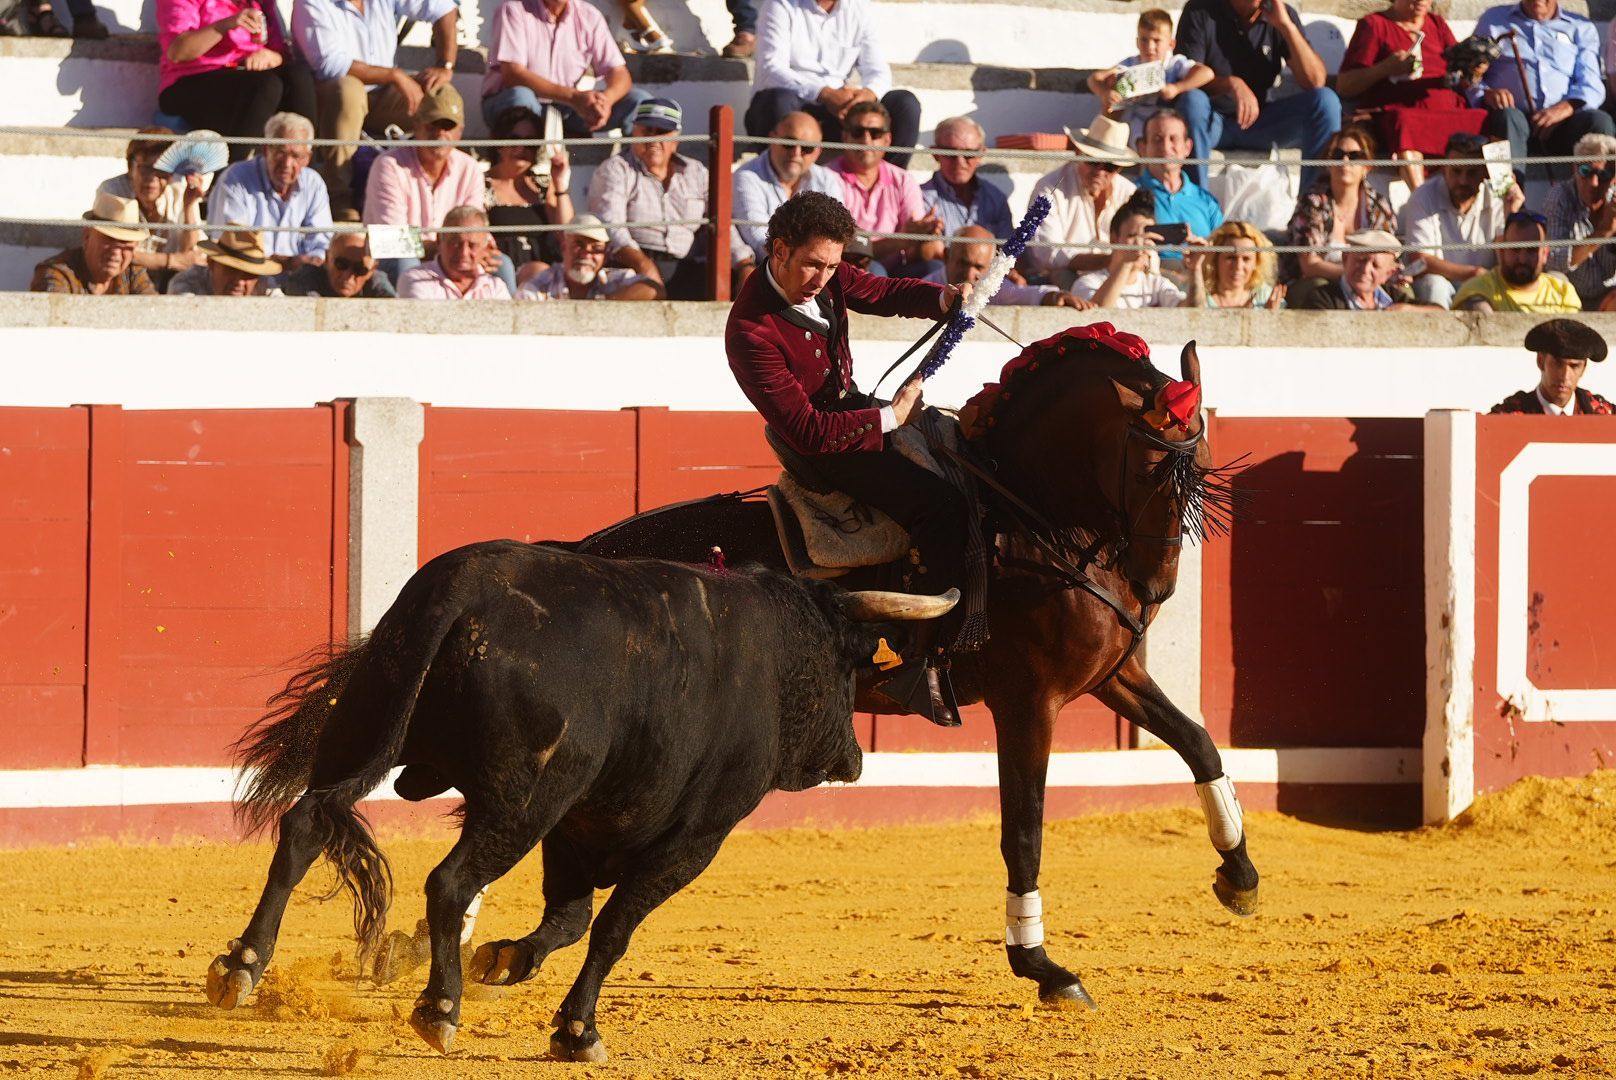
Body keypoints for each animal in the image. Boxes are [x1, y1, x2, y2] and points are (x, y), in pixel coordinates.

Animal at [203, 540, 956, 1060]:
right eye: (848, 666)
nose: (853, 759)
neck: (775, 654)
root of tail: (460, 595)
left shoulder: (577, 825)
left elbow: (568, 919)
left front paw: (505, 960)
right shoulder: (694, 838)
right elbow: (613, 928)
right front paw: (576, 1030)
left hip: (366, 732)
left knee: (305, 824)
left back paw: (241, 968)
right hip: (522, 801)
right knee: (449, 882)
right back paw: (440, 1010)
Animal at [568, 324, 1260, 1008]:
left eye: (1201, 466)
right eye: (1146, 470)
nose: (1156, 586)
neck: (1027, 522)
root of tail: (585, 553)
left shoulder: (1111, 677)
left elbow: (1198, 743)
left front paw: (1240, 877)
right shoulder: (1028, 703)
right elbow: (1025, 829)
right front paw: (1041, 965)